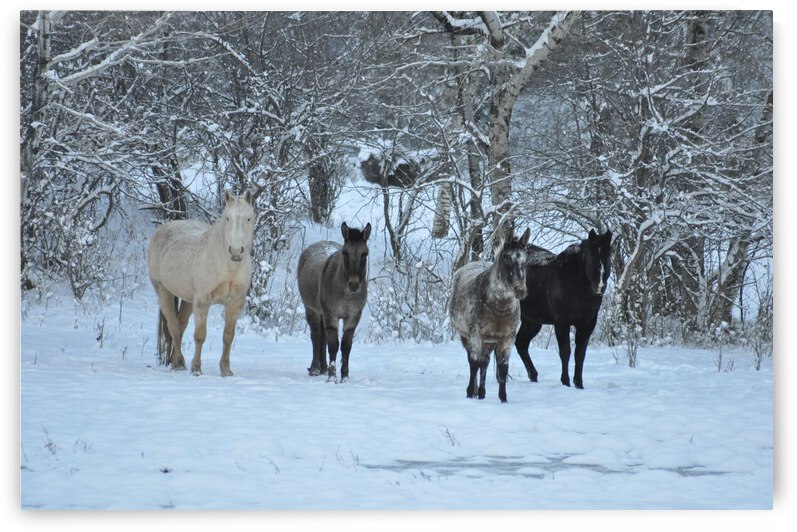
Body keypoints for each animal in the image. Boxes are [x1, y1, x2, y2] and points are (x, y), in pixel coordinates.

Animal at [147, 190, 255, 377]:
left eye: (248, 218)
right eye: (227, 218)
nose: (235, 252)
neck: (228, 267)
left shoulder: (234, 304)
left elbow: (228, 336)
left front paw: (226, 370)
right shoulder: (202, 302)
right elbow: (200, 335)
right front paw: (196, 369)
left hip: (188, 299)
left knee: (181, 325)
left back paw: (176, 361)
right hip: (163, 291)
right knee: (173, 326)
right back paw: (179, 364)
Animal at [297, 222, 371, 382]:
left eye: (365, 253)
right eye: (345, 253)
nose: (354, 285)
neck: (346, 294)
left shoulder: (353, 317)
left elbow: (346, 346)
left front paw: (344, 376)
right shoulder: (331, 314)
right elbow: (333, 345)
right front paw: (332, 377)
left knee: (323, 336)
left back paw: (324, 367)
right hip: (311, 309)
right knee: (316, 336)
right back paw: (316, 368)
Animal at [448, 228, 531, 403]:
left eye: (526, 259)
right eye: (507, 258)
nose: (521, 290)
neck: (498, 307)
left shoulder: (507, 338)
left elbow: (502, 367)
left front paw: (503, 398)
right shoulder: (476, 336)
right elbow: (474, 363)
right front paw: (470, 393)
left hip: (490, 342)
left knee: (485, 362)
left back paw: (482, 392)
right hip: (466, 337)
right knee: (475, 361)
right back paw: (475, 391)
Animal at [514, 229, 612, 389]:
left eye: (608, 255)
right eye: (592, 256)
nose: (600, 286)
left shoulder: (587, 324)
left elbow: (580, 354)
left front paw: (579, 384)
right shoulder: (562, 323)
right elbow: (565, 352)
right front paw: (565, 382)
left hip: (531, 322)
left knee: (521, 344)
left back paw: (533, 376)